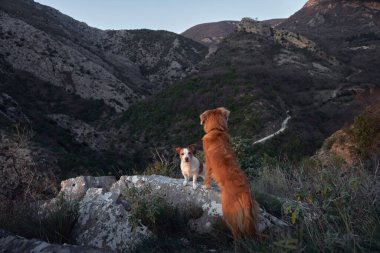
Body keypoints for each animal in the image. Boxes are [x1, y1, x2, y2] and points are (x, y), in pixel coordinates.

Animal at [199, 107, 258, 240]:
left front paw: (206, 186)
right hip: (253, 213)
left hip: (228, 212)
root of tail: (244, 192)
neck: (216, 130)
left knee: (237, 233)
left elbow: (207, 176)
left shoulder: (208, 161)